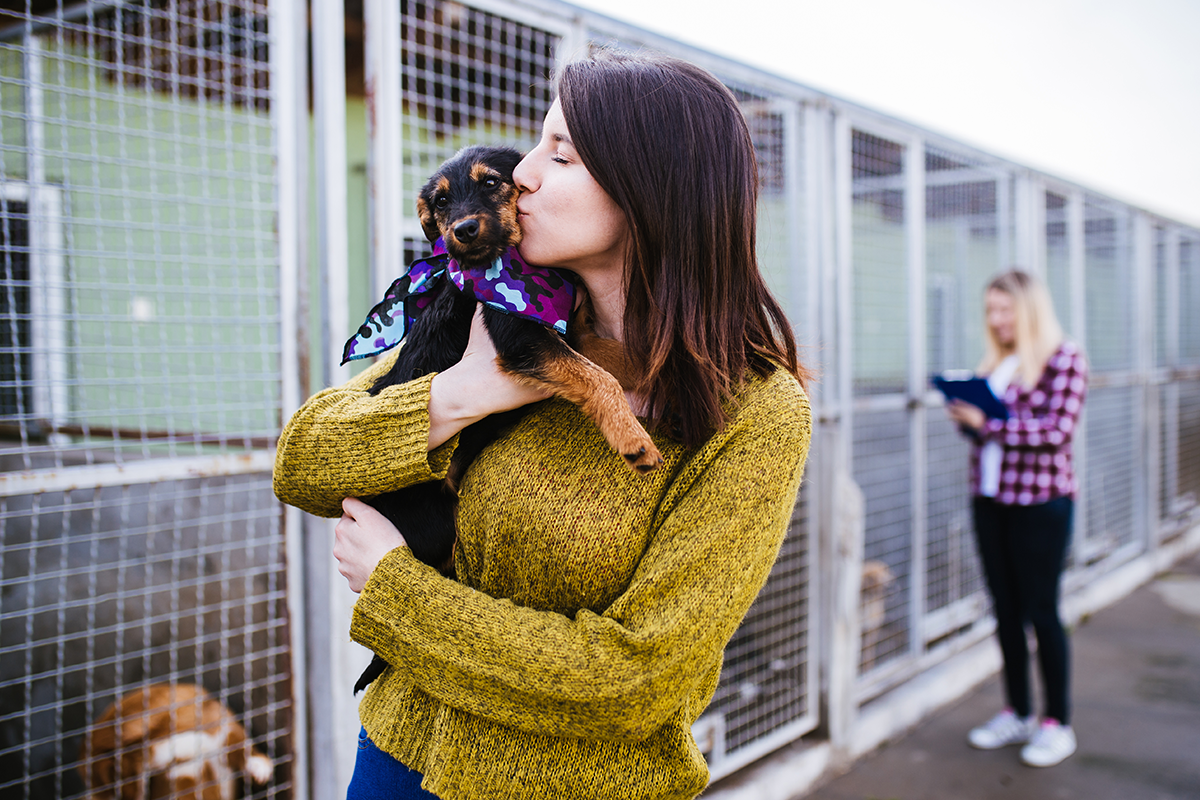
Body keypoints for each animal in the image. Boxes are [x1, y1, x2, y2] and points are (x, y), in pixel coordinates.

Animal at [348, 145, 667, 695]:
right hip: (435, 523)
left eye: (493, 182)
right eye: (440, 202)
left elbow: (611, 355)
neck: (511, 265)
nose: (462, 230)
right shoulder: (523, 338)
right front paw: (635, 440)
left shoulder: (568, 327)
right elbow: (598, 375)